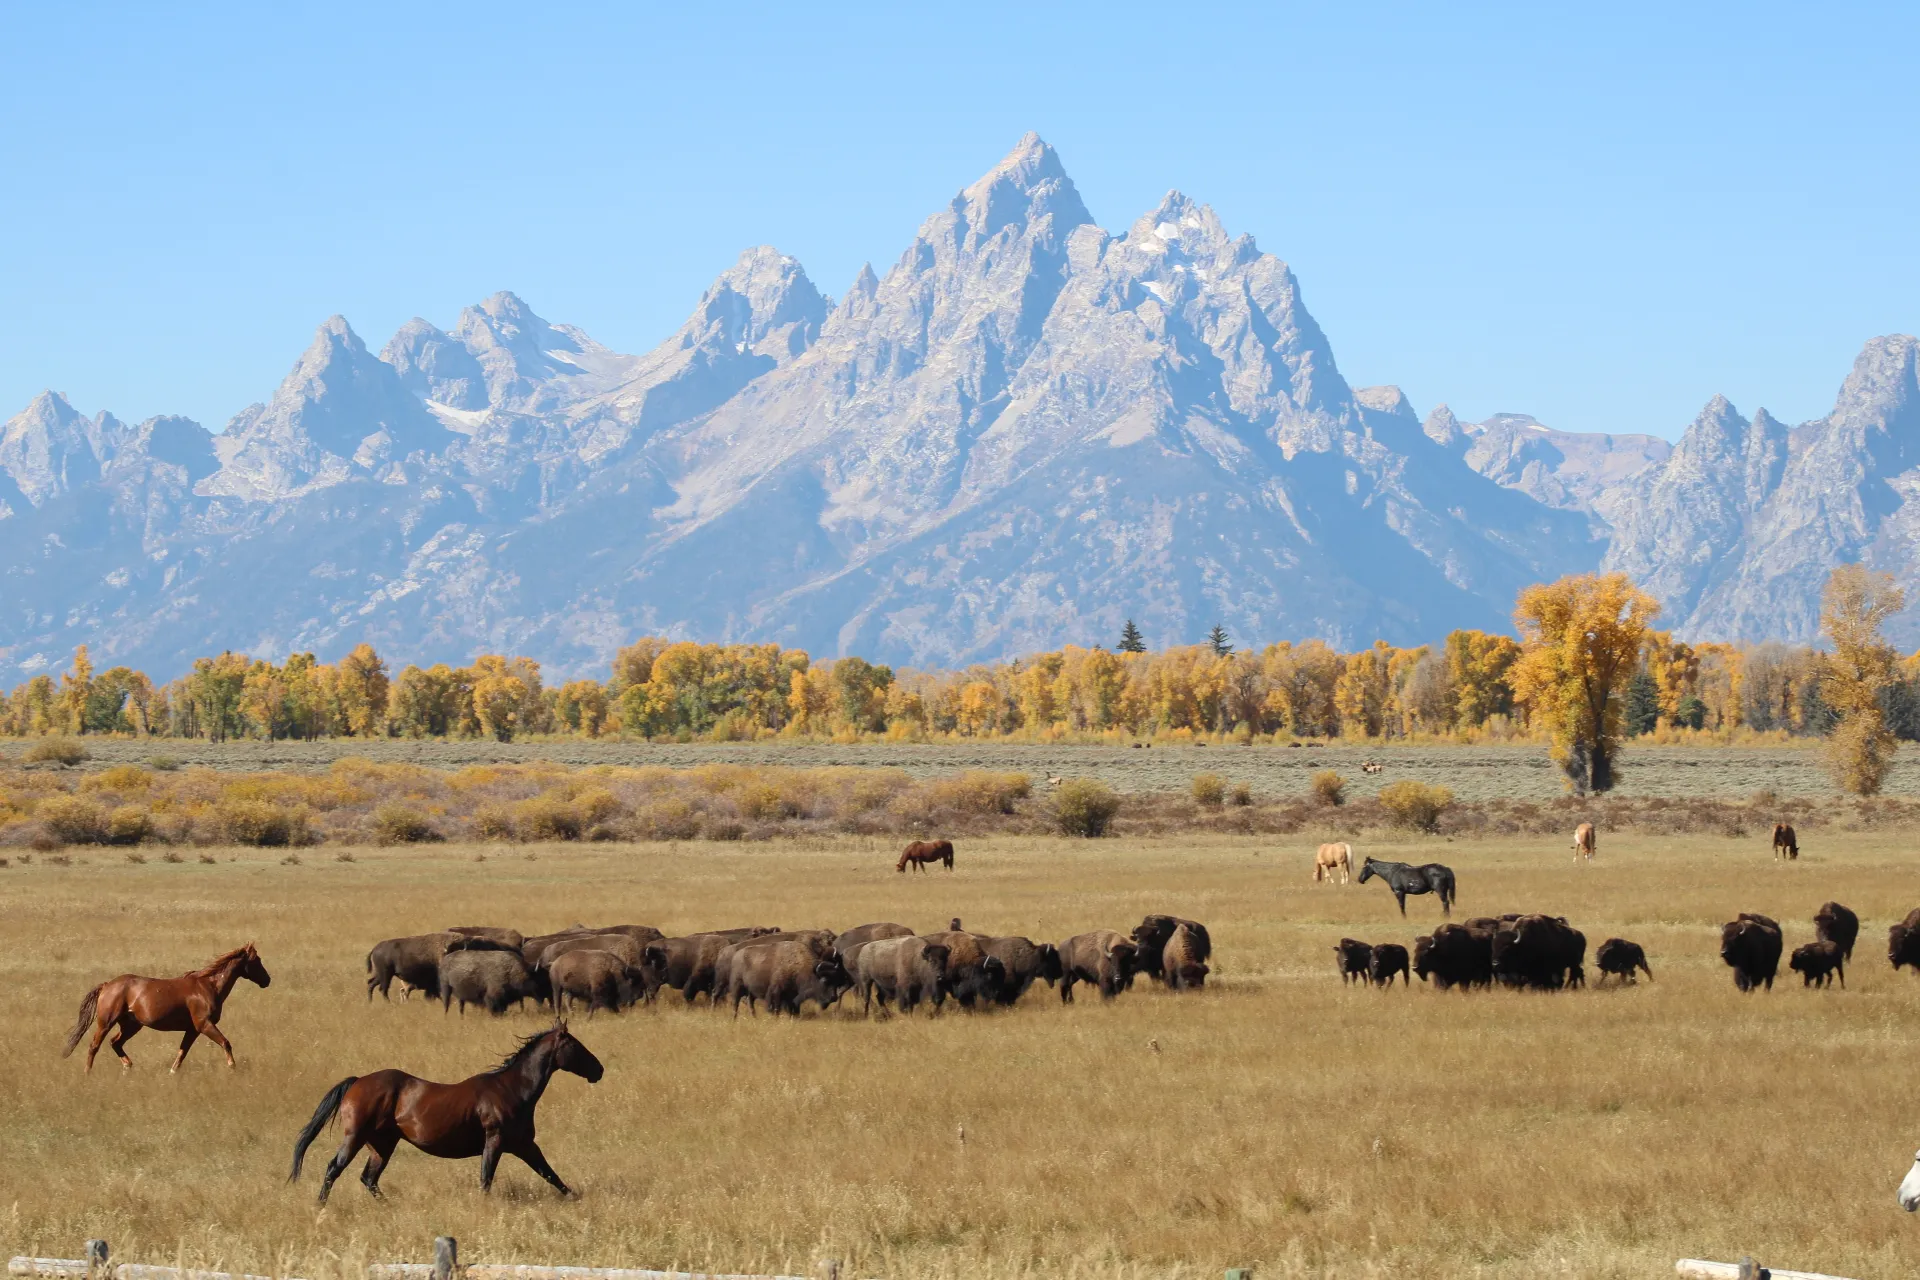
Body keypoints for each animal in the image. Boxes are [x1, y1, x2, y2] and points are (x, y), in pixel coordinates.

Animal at [62, 942, 271, 1073]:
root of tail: (107, 985)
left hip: (131, 1025)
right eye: (257, 960)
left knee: (115, 1043)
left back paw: (128, 1067)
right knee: (94, 1046)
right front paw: (232, 1067)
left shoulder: (192, 1029)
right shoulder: (204, 1025)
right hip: (106, 1022)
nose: (267, 980)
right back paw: (88, 1073)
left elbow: (182, 1052)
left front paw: (172, 1072)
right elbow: (225, 1043)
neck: (208, 986)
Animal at [290, 1022, 604, 1203]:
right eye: (575, 1045)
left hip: (382, 1144)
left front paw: (575, 1198)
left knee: (369, 1179)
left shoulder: (525, 1145)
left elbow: (551, 1174)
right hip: (355, 1137)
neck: (512, 1090)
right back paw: (320, 1206)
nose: (599, 1070)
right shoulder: (495, 1141)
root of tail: (357, 1082)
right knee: (334, 1168)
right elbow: (486, 1179)